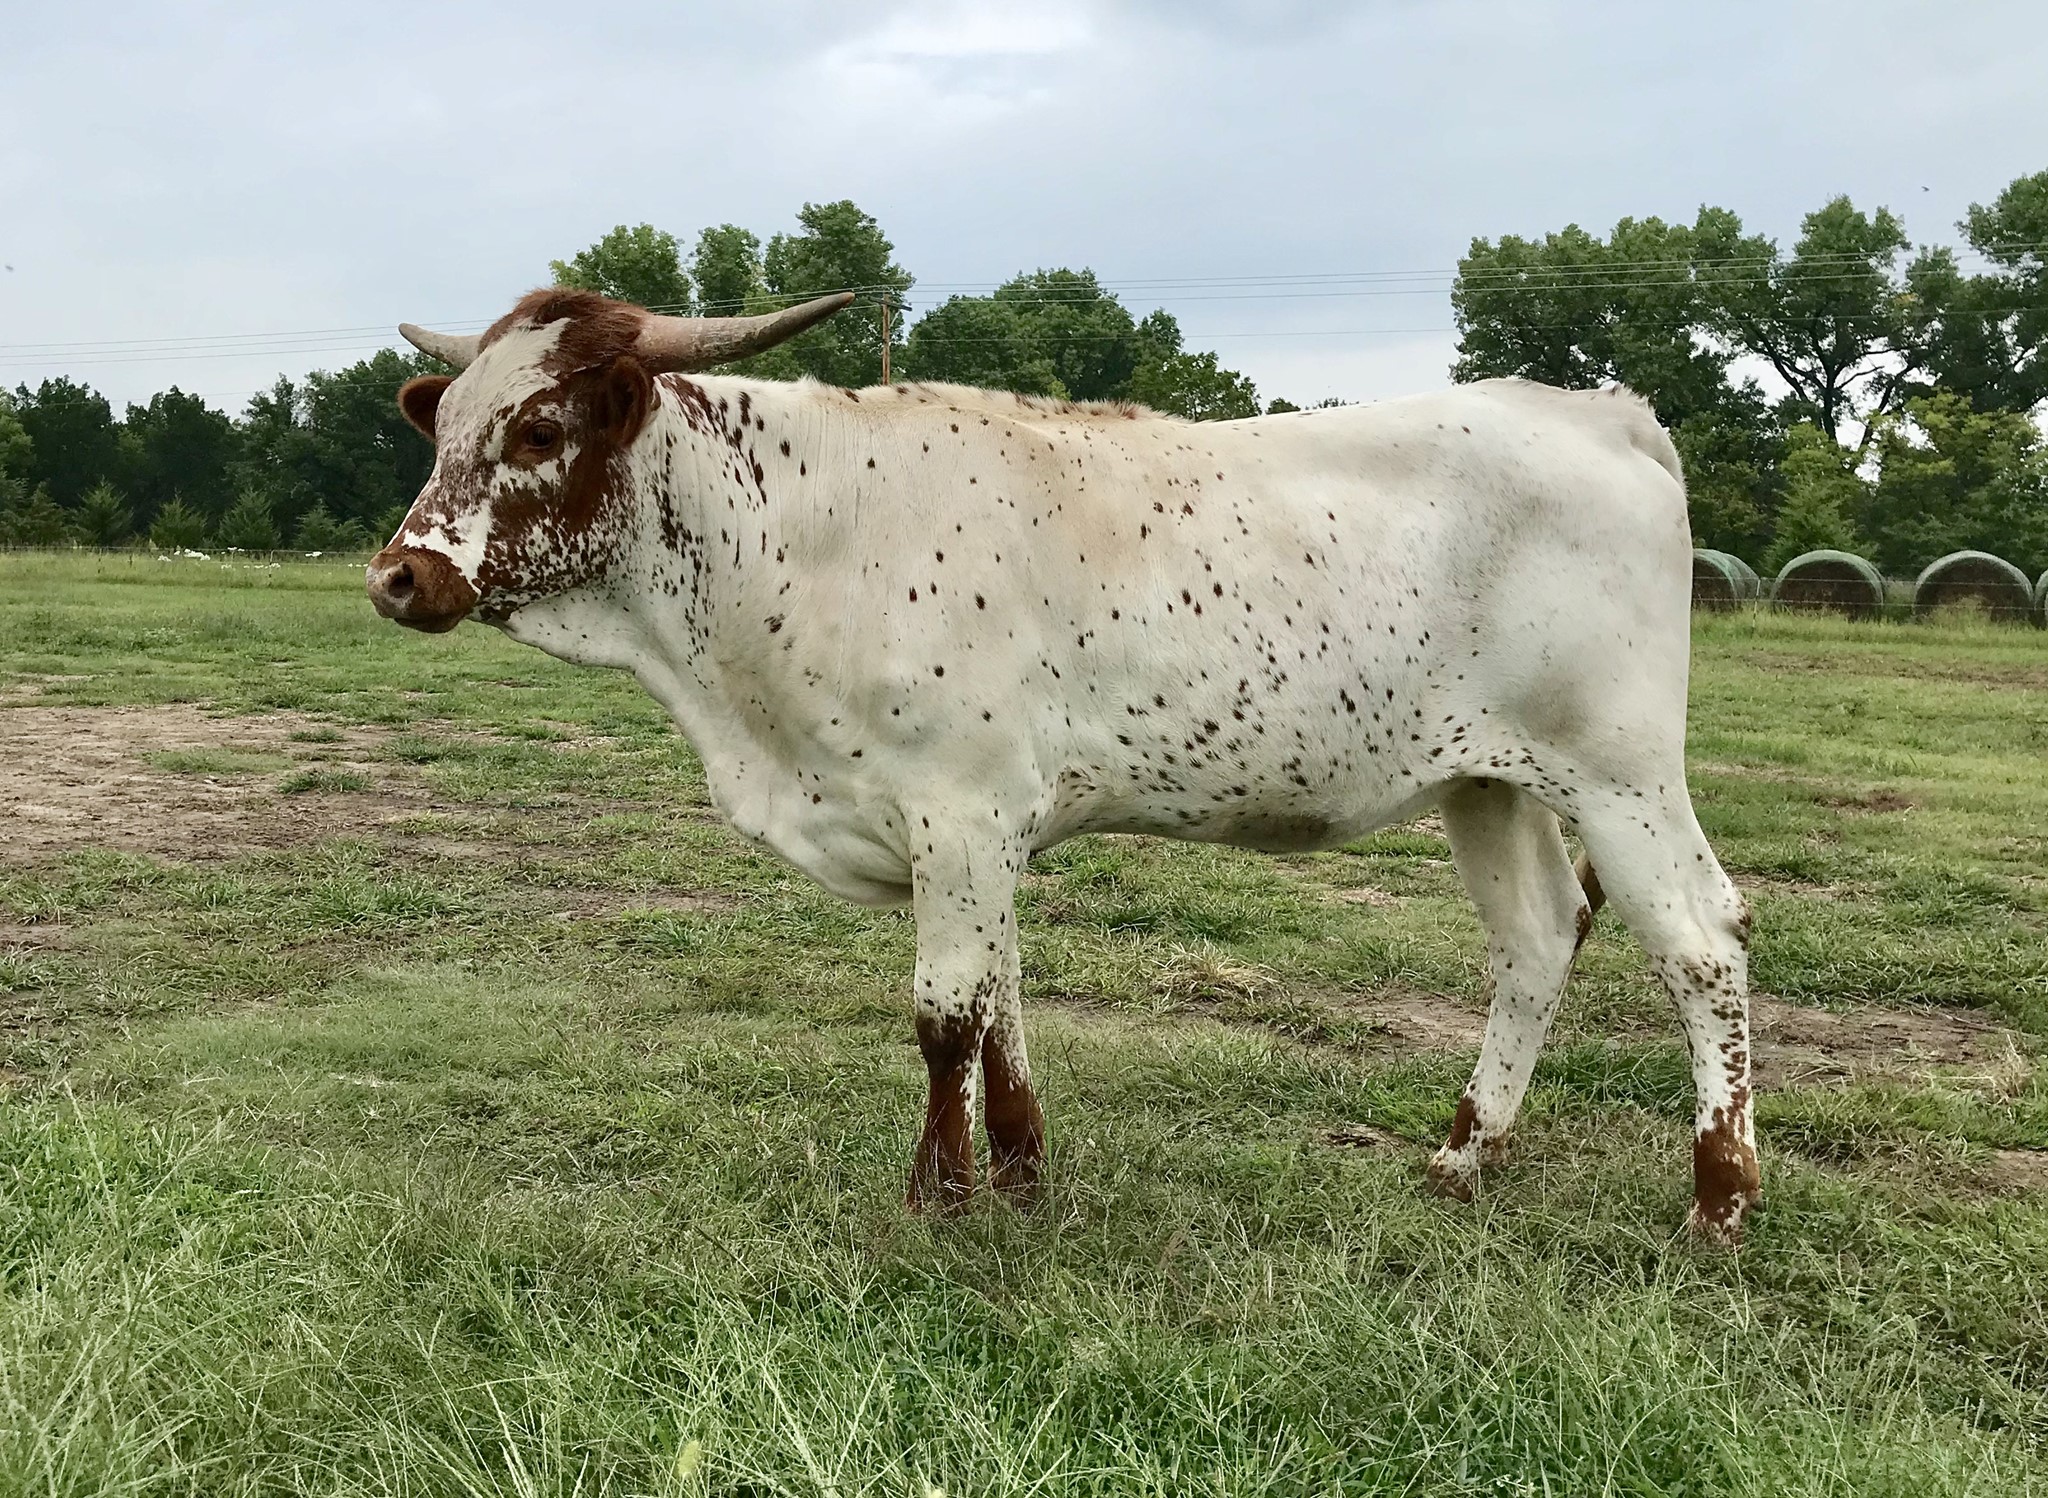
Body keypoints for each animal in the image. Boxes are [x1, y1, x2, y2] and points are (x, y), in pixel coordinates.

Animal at [368, 287, 1761, 1244]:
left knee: (1701, 939)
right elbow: (1000, 1004)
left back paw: (1719, 1199)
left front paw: (937, 1200)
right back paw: (1465, 1154)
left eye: (538, 426)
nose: (399, 576)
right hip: (1489, 778)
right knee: (1537, 933)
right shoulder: (983, 832)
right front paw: (1023, 1172)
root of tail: (1597, 412)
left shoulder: (955, 807)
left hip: (1619, 770)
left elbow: (942, 1018)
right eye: (447, 423)